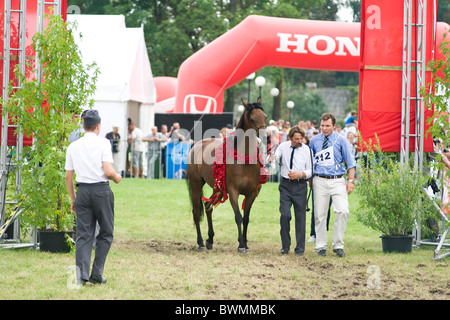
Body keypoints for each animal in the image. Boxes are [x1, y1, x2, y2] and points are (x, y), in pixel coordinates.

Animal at [186, 99, 268, 252]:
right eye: (252, 118)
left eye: (265, 116)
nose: (266, 137)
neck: (244, 160)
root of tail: (197, 145)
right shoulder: (233, 191)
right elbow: (238, 217)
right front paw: (241, 245)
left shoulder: (252, 193)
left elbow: (246, 218)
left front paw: (245, 243)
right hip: (196, 184)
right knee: (197, 212)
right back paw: (201, 243)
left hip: (217, 188)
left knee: (208, 206)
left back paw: (210, 239)